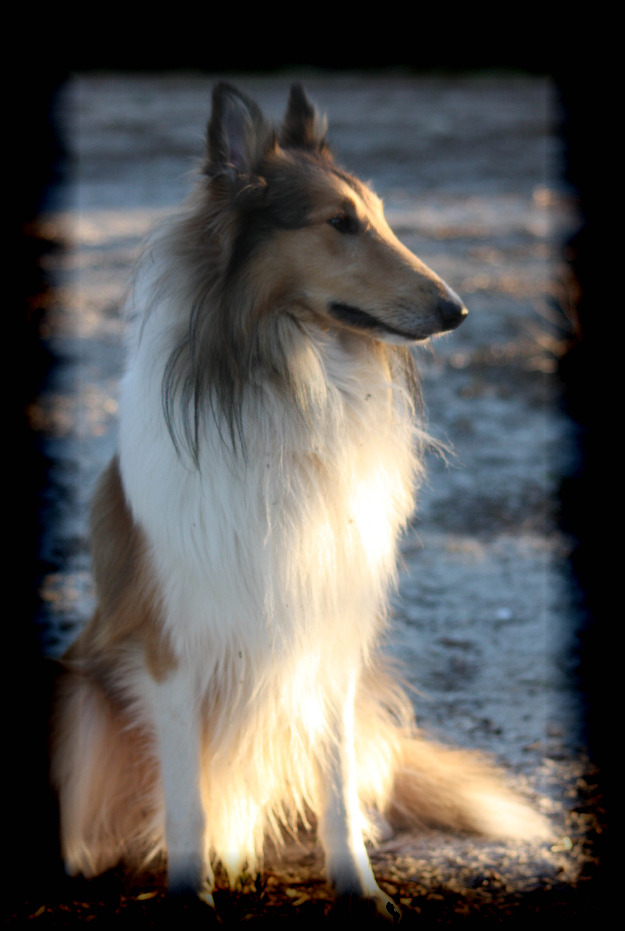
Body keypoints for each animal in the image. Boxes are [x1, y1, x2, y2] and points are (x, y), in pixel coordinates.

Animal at [51, 83, 548, 920]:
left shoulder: (329, 631)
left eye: (378, 216)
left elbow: (338, 788)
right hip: (84, 695)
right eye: (338, 223)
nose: (456, 310)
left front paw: (361, 888)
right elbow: (186, 802)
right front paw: (190, 895)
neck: (292, 374)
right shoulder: (169, 649)